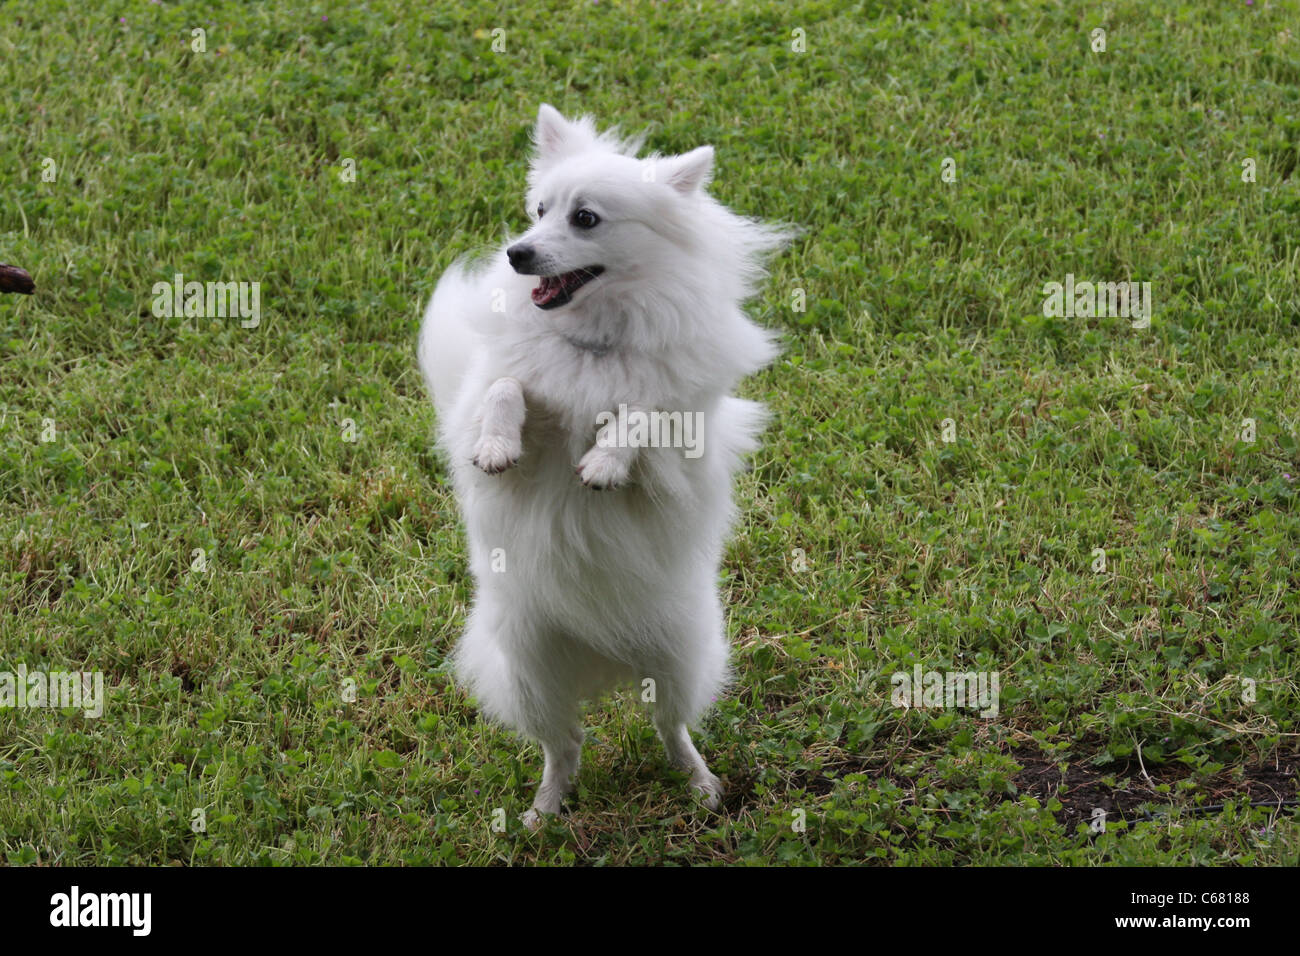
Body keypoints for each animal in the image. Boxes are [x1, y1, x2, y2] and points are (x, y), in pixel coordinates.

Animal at [418, 102, 790, 822]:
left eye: (585, 219)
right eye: (538, 210)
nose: (518, 252)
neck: (594, 343)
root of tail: (605, 665)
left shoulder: (679, 454)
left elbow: (643, 412)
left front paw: (605, 462)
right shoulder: (512, 417)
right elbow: (506, 390)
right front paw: (497, 444)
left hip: (679, 659)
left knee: (670, 729)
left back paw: (701, 785)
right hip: (531, 674)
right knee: (564, 747)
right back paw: (542, 812)